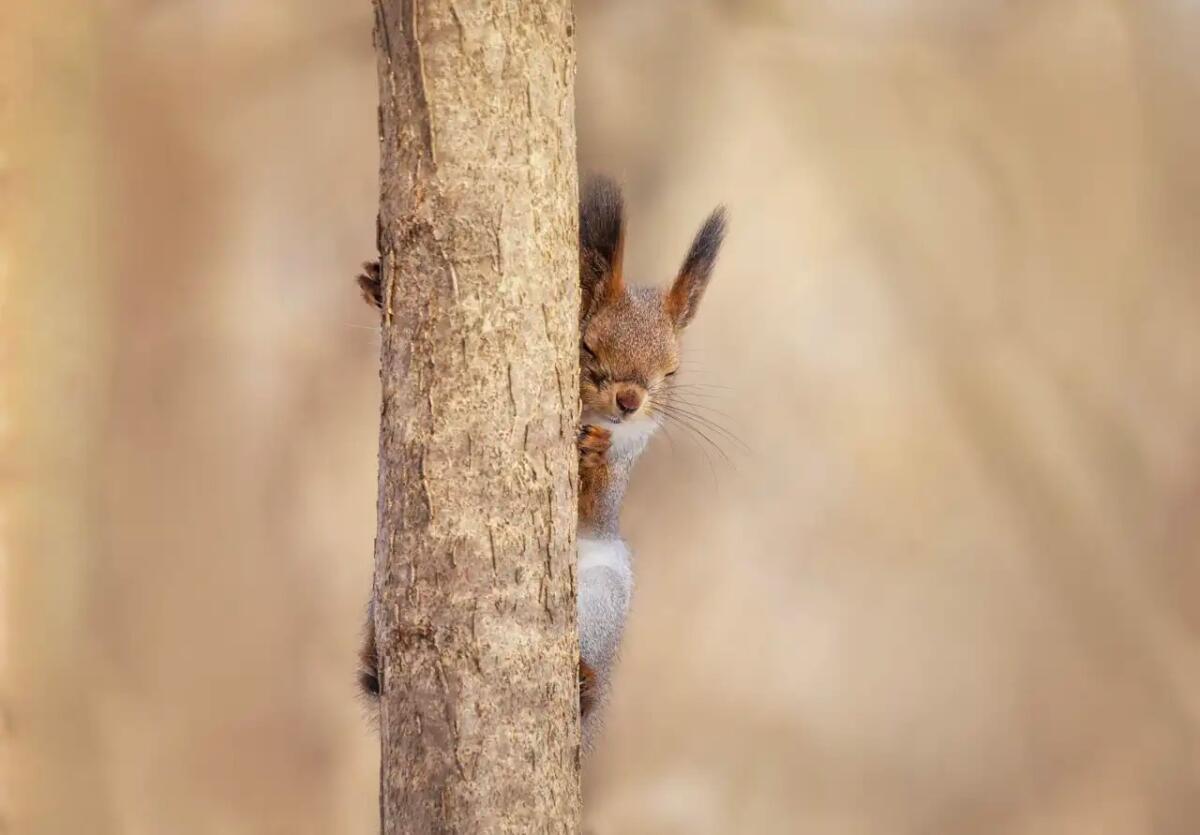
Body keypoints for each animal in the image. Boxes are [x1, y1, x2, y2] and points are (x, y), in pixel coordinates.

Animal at [355, 176, 724, 748]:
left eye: (671, 372)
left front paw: (594, 454)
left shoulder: (627, 460)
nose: (629, 401)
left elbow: (599, 501)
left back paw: (586, 679)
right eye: (587, 348)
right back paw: (375, 657)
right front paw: (377, 288)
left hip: (603, 594)